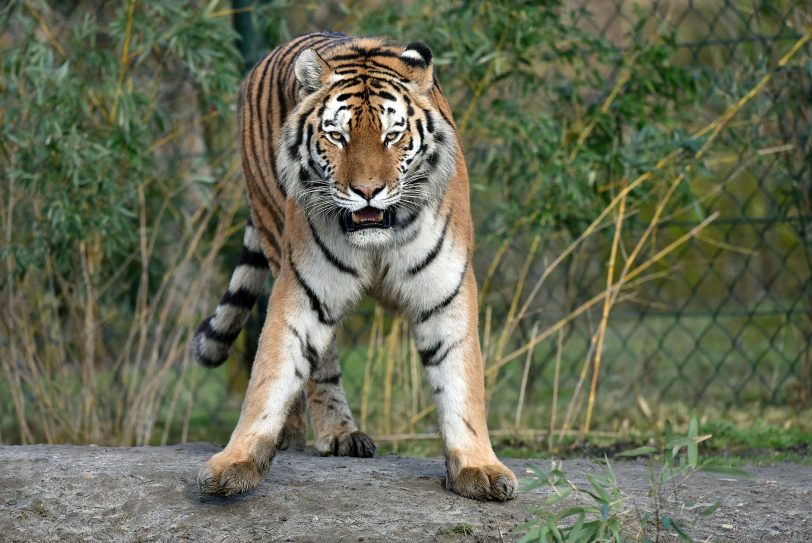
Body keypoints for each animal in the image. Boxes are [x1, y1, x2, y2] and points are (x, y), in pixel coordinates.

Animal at [192, 33, 512, 502]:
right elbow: (270, 374)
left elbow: (461, 378)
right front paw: (236, 460)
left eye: (393, 135)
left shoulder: (446, 291)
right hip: (272, 230)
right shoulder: (303, 286)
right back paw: (326, 434)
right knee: (320, 367)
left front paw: (478, 467)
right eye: (337, 135)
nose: (367, 191)